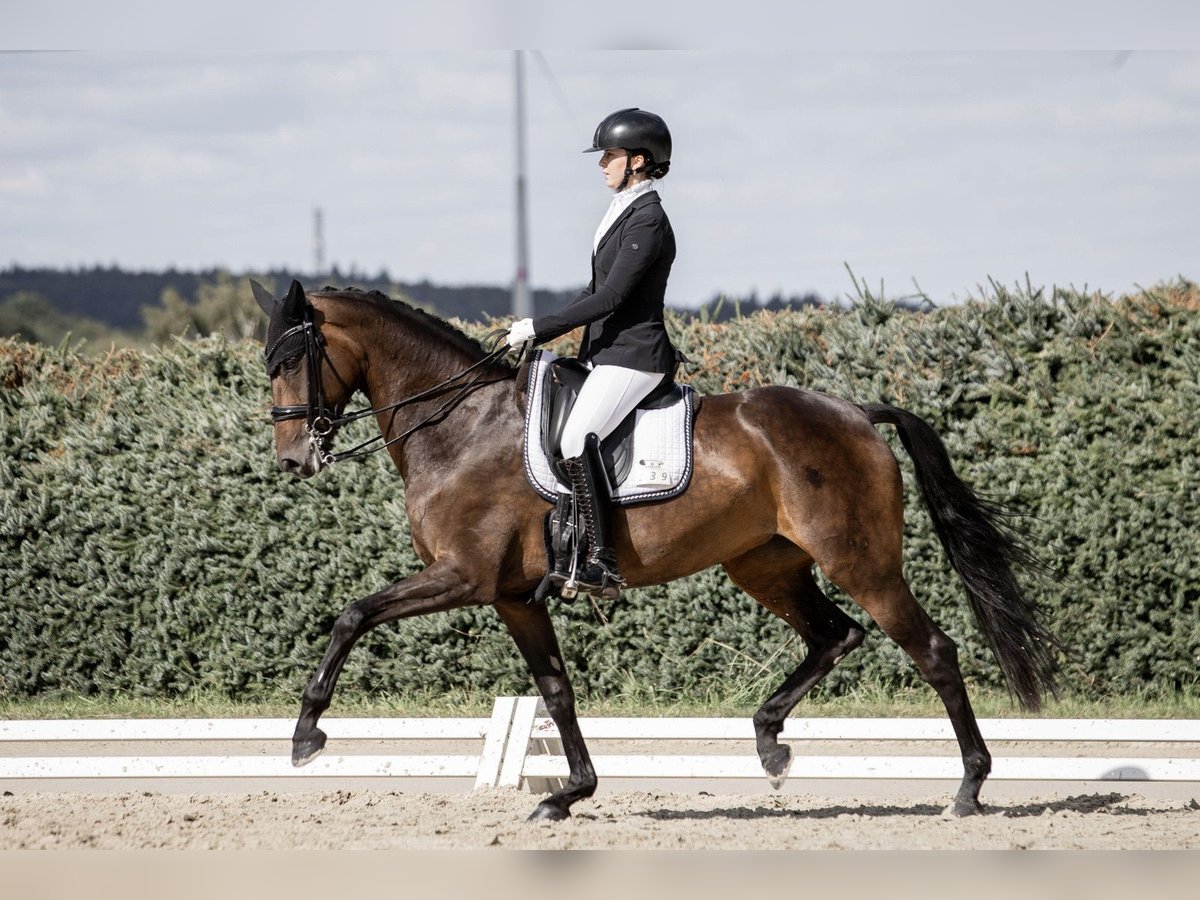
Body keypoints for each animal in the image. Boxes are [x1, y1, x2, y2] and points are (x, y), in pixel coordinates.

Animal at [253, 278, 1060, 820]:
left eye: (291, 362)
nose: (293, 460)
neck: (458, 426)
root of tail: (856, 412)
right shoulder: (511, 597)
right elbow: (555, 691)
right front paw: (569, 795)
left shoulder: (463, 577)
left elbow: (353, 614)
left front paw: (306, 734)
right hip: (764, 564)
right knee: (836, 635)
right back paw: (770, 743)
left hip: (859, 562)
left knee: (932, 651)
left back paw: (968, 788)